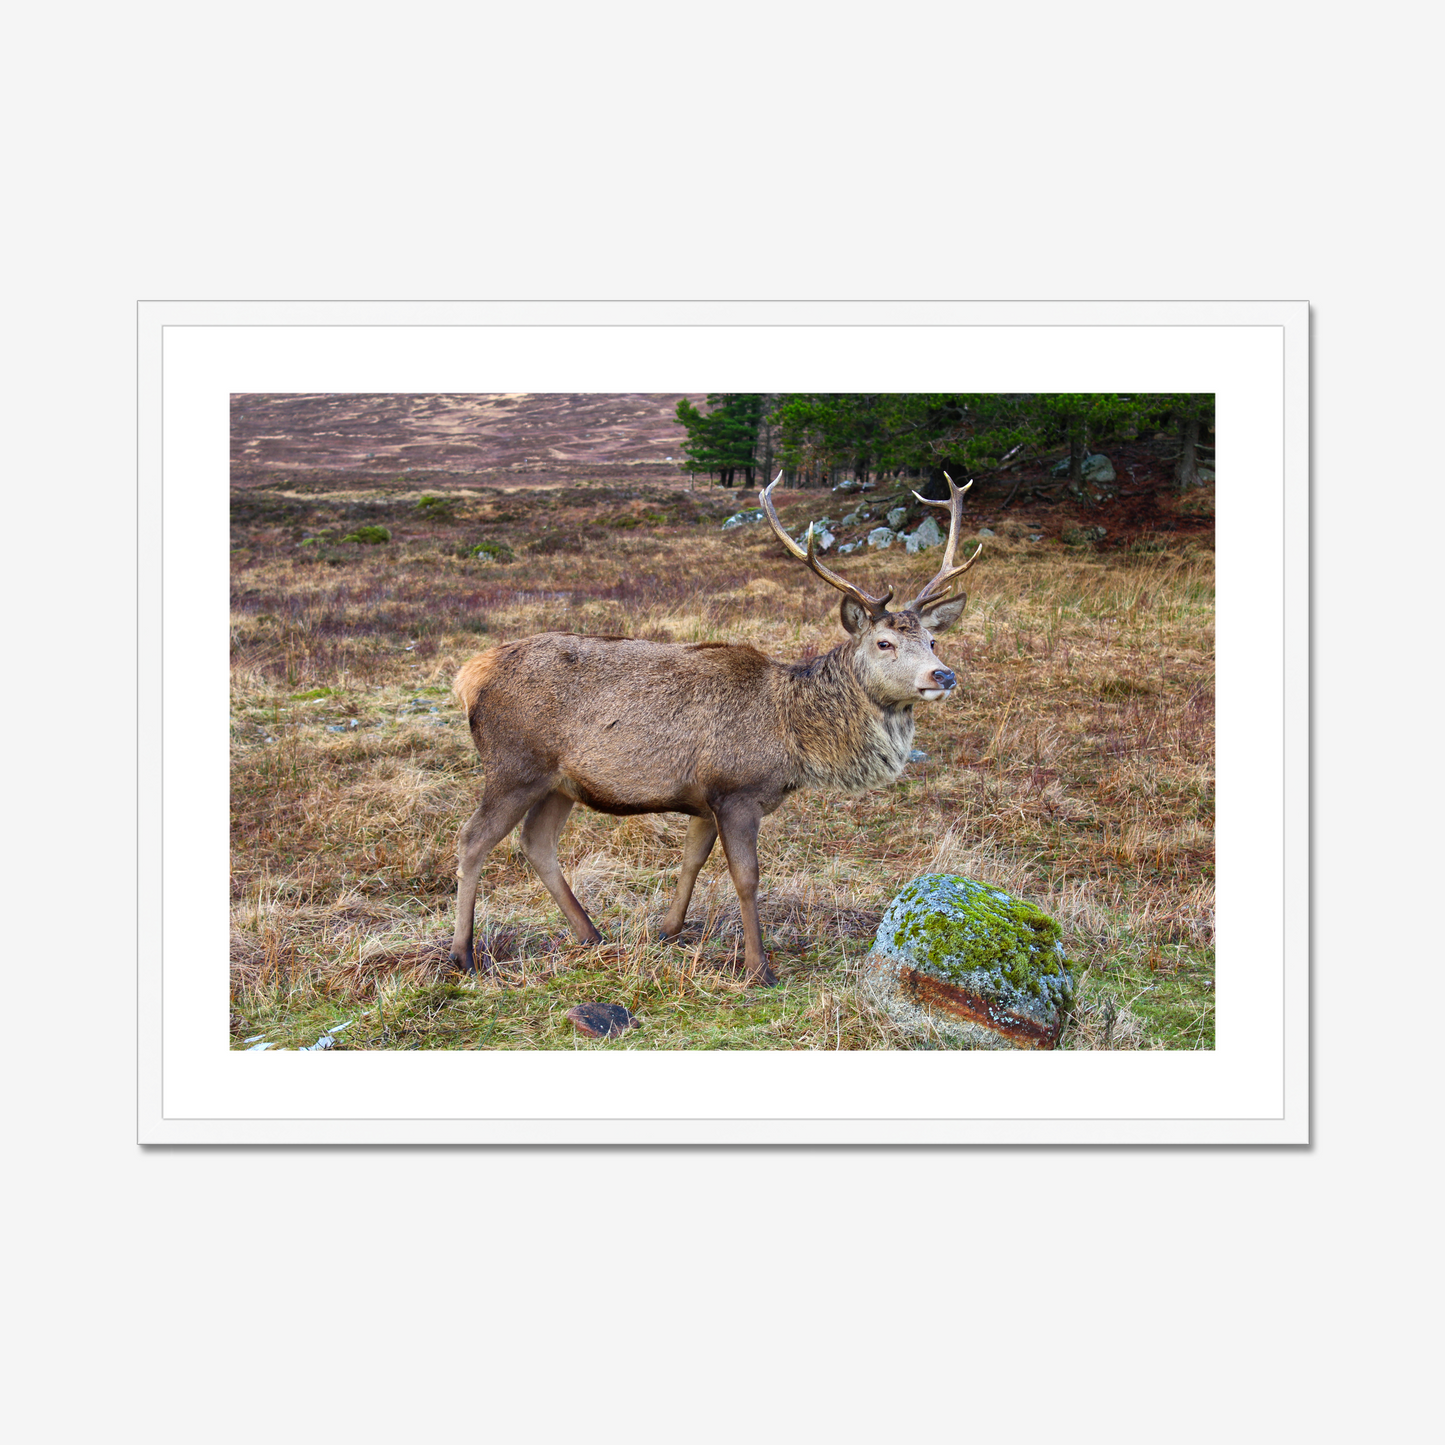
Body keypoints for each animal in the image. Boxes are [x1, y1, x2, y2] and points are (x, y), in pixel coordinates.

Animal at [448, 473, 982, 987]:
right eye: (884, 642)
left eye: (933, 640)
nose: (943, 675)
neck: (793, 737)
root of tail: (470, 674)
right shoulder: (736, 791)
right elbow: (747, 878)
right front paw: (759, 968)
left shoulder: (704, 800)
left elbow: (691, 860)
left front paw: (667, 931)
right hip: (514, 766)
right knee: (472, 839)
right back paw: (464, 955)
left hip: (560, 783)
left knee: (536, 842)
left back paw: (591, 934)